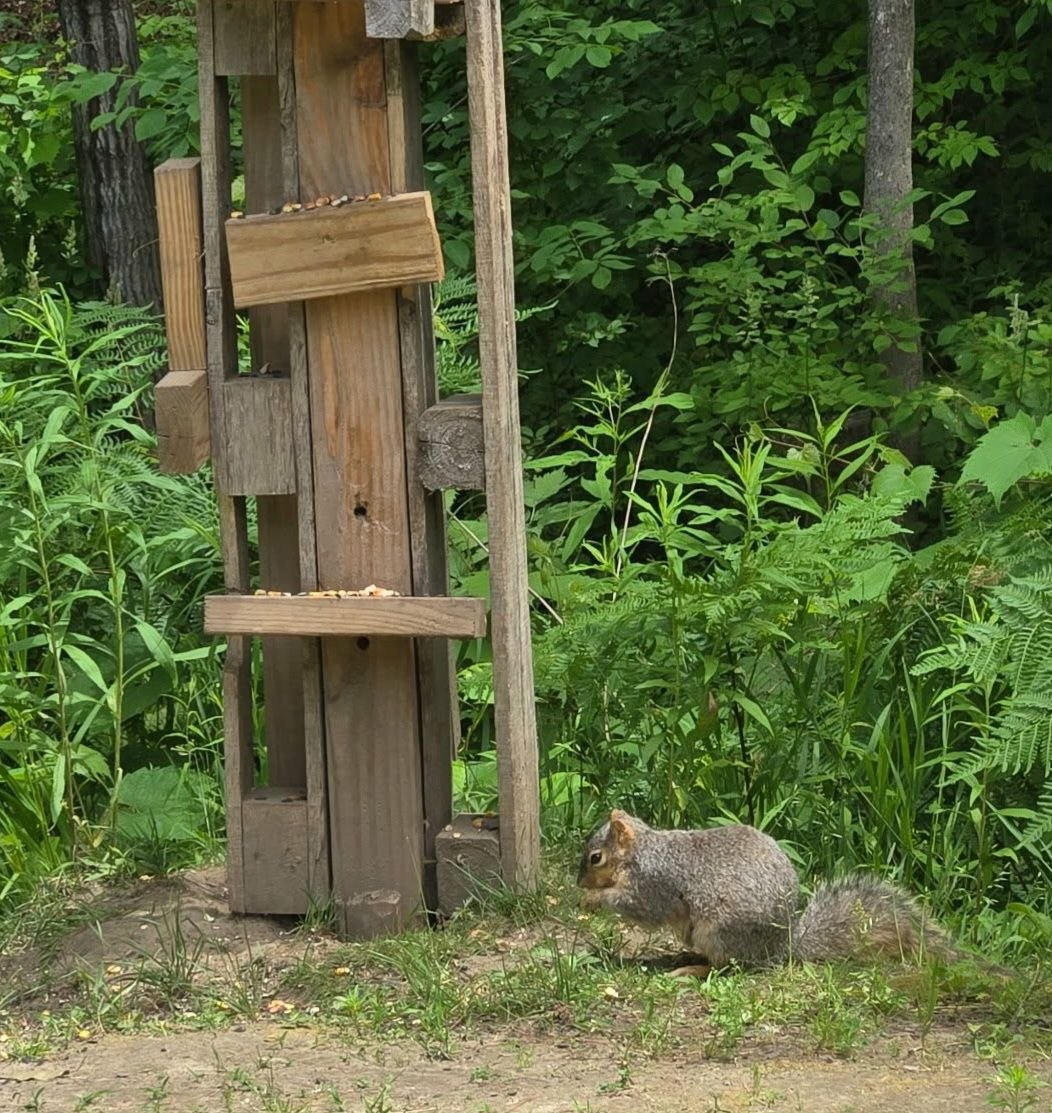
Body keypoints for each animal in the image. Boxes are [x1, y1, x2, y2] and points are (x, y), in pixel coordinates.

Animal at [577, 810, 961, 974]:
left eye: (596, 858)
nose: (579, 882)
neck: (642, 851)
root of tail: (781, 948)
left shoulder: (655, 884)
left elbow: (642, 909)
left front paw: (593, 899)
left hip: (720, 932)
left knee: (729, 968)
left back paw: (692, 970)